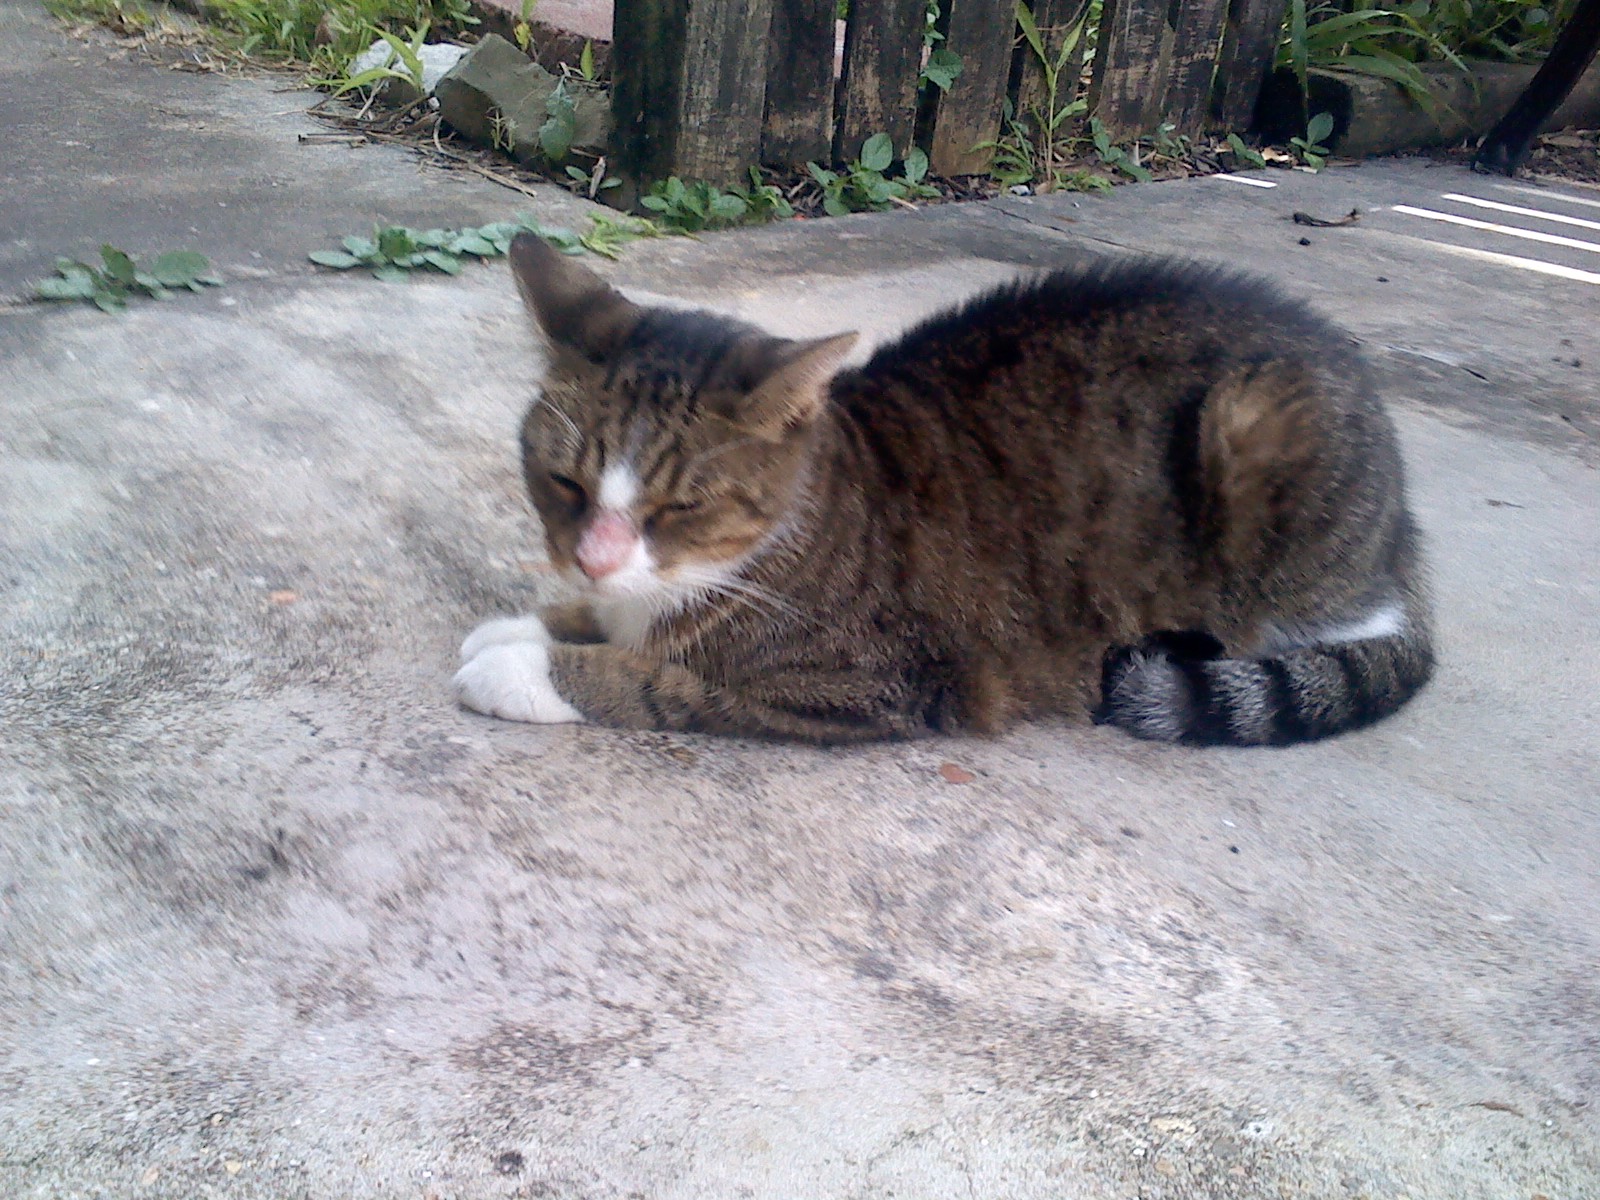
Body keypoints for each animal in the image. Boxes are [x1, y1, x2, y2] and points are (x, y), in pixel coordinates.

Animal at [454, 230, 1440, 748]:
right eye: (563, 482)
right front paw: (537, 620)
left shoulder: (863, 687)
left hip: (1258, 422)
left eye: (679, 508)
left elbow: (661, 684)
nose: (592, 558)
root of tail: (1404, 526)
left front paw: (524, 664)